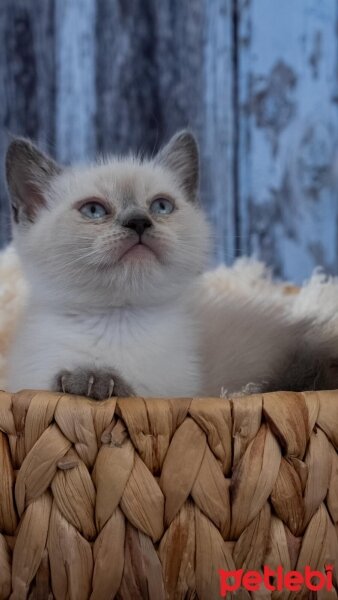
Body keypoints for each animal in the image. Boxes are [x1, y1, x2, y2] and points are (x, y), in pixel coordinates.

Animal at [4, 130, 211, 398]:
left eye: (161, 206)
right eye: (94, 210)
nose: (138, 222)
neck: (118, 320)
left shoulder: (176, 392)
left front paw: (101, 382)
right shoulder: (31, 382)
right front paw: (90, 381)